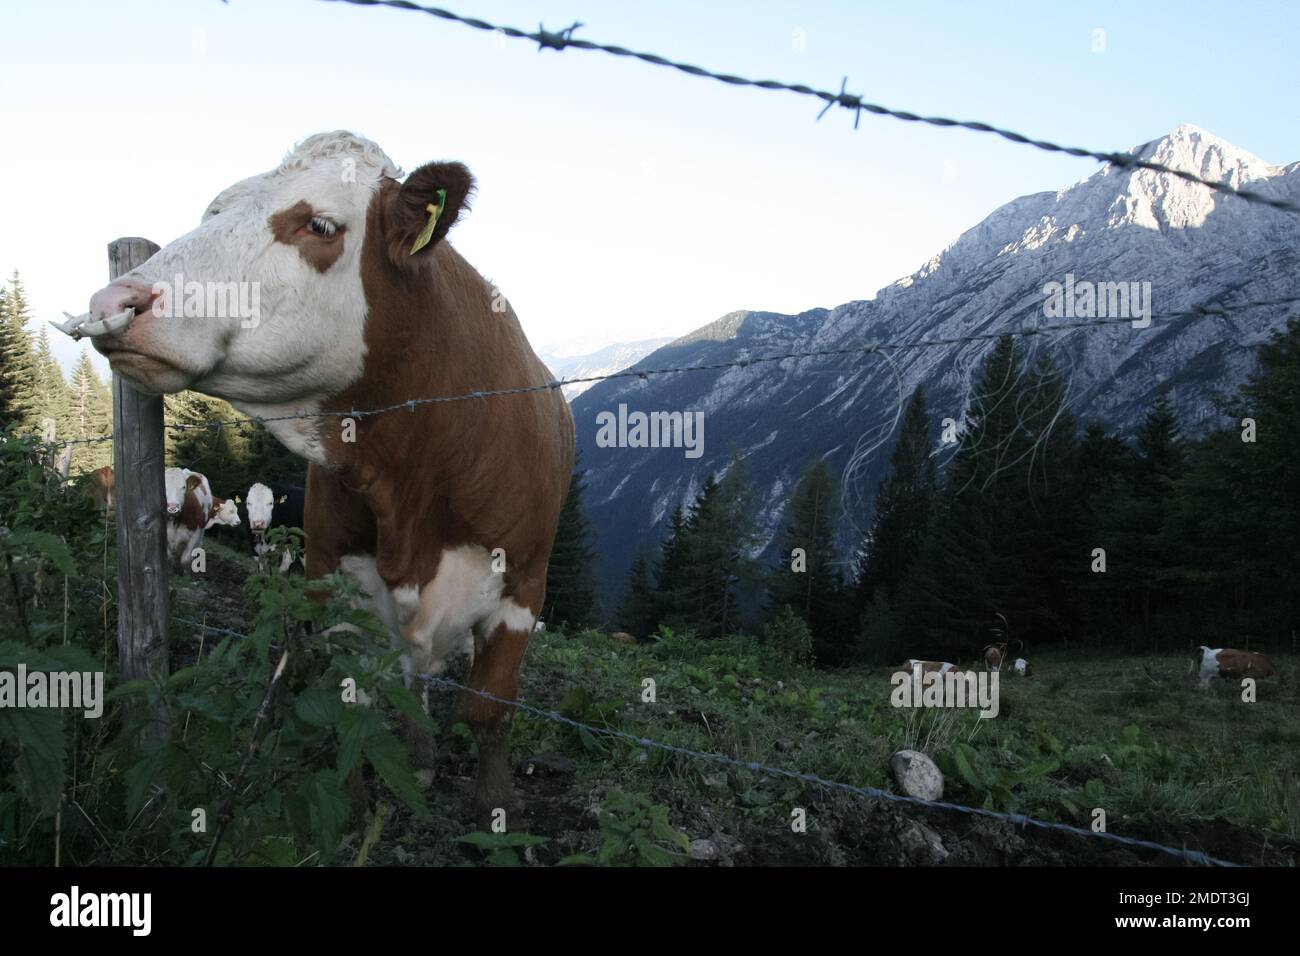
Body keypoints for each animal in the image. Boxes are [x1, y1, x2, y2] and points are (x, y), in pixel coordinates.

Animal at [68, 132, 572, 822]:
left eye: (321, 225)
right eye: (213, 212)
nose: (112, 303)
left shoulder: (522, 588)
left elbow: (487, 712)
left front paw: (495, 811)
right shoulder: (330, 578)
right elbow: (349, 702)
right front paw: (357, 810)